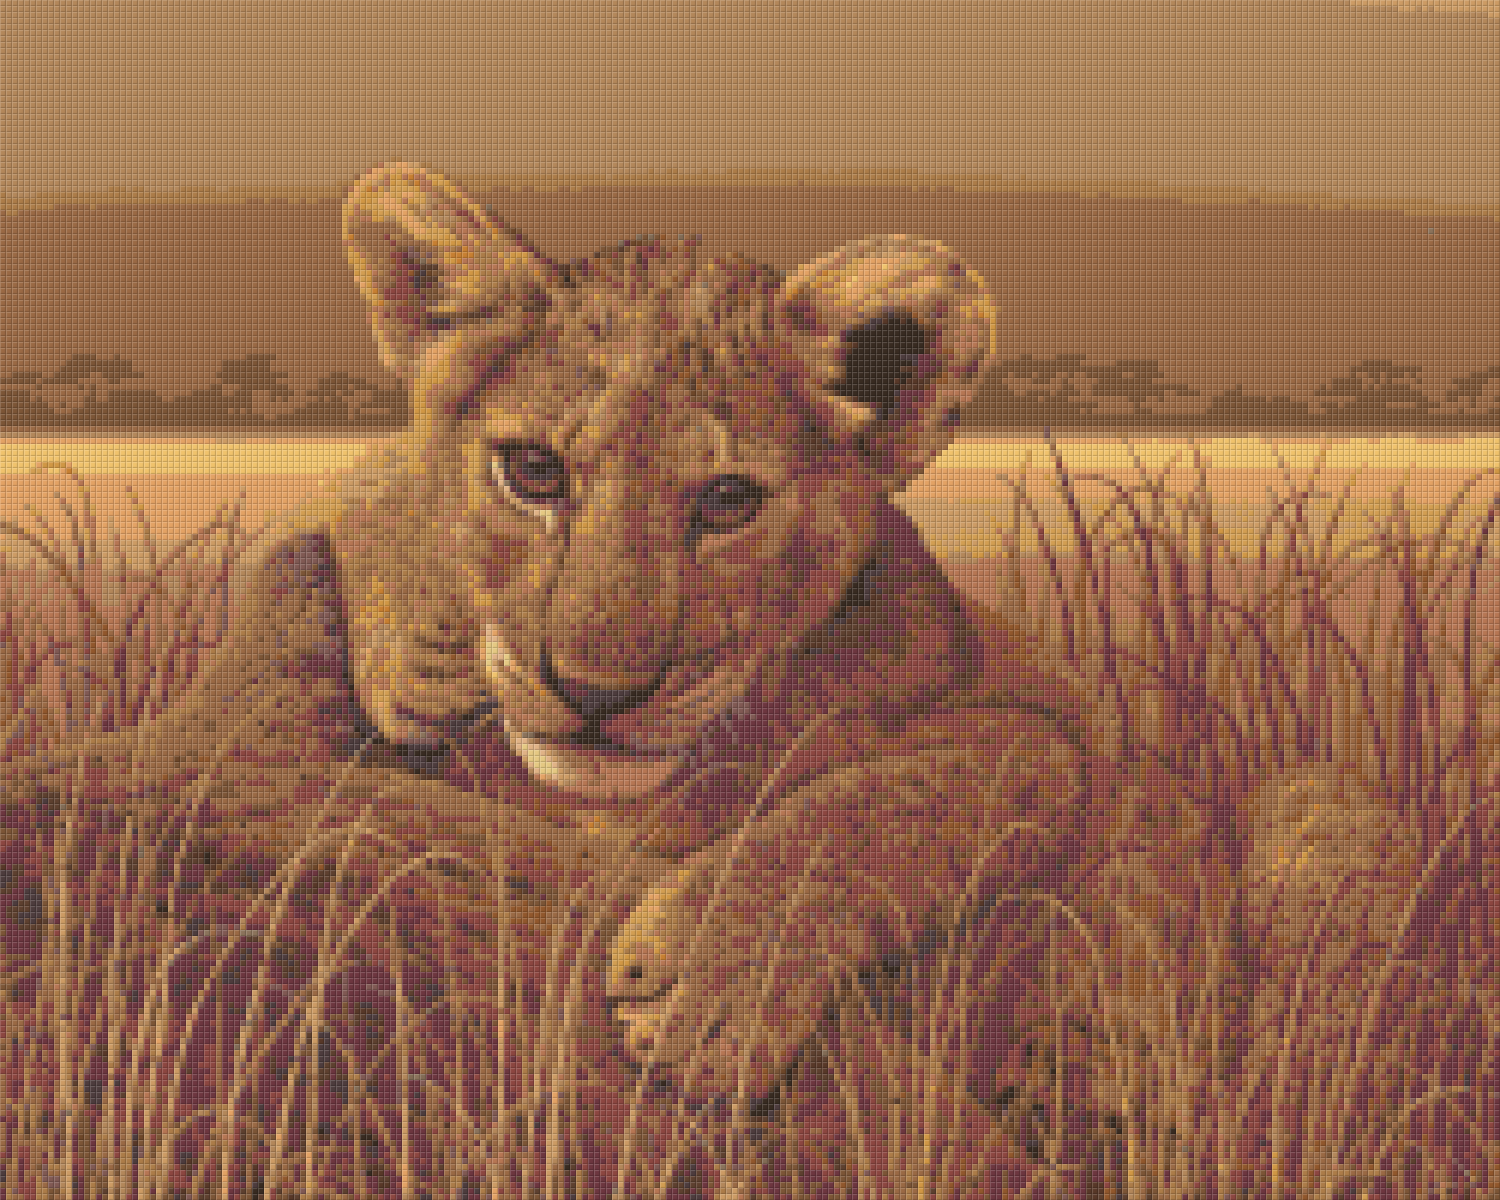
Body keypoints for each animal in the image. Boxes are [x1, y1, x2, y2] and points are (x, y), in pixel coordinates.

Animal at [2, 162, 1244, 1195]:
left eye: (728, 502)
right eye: (534, 471)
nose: (596, 688)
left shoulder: (1048, 713)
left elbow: (941, 778)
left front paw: (706, 988)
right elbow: (375, 476)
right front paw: (419, 630)